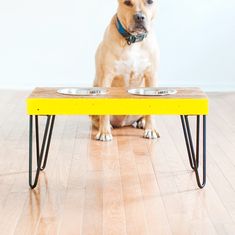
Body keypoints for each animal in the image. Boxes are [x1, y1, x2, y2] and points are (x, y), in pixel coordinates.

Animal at [92, 0, 161, 141]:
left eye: (150, 1)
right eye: (127, 2)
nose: (139, 17)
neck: (133, 40)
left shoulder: (151, 76)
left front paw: (150, 129)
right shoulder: (106, 77)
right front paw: (104, 131)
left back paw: (142, 122)